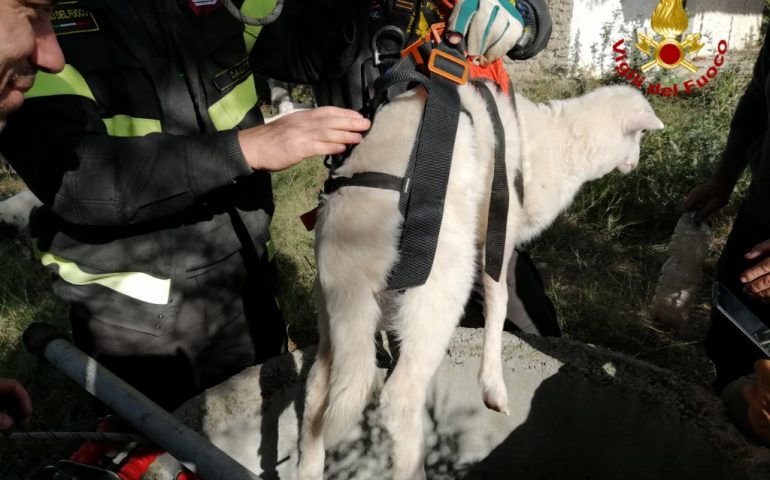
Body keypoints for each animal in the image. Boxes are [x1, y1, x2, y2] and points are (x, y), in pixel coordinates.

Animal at [294, 82, 660, 476]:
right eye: (641, 134)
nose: (634, 165)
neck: (557, 141)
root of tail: (353, 241)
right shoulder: (499, 231)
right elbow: (499, 303)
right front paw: (493, 388)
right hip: (439, 289)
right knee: (399, 396)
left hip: (332, 307)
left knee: (317, 388)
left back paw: (309, 467)